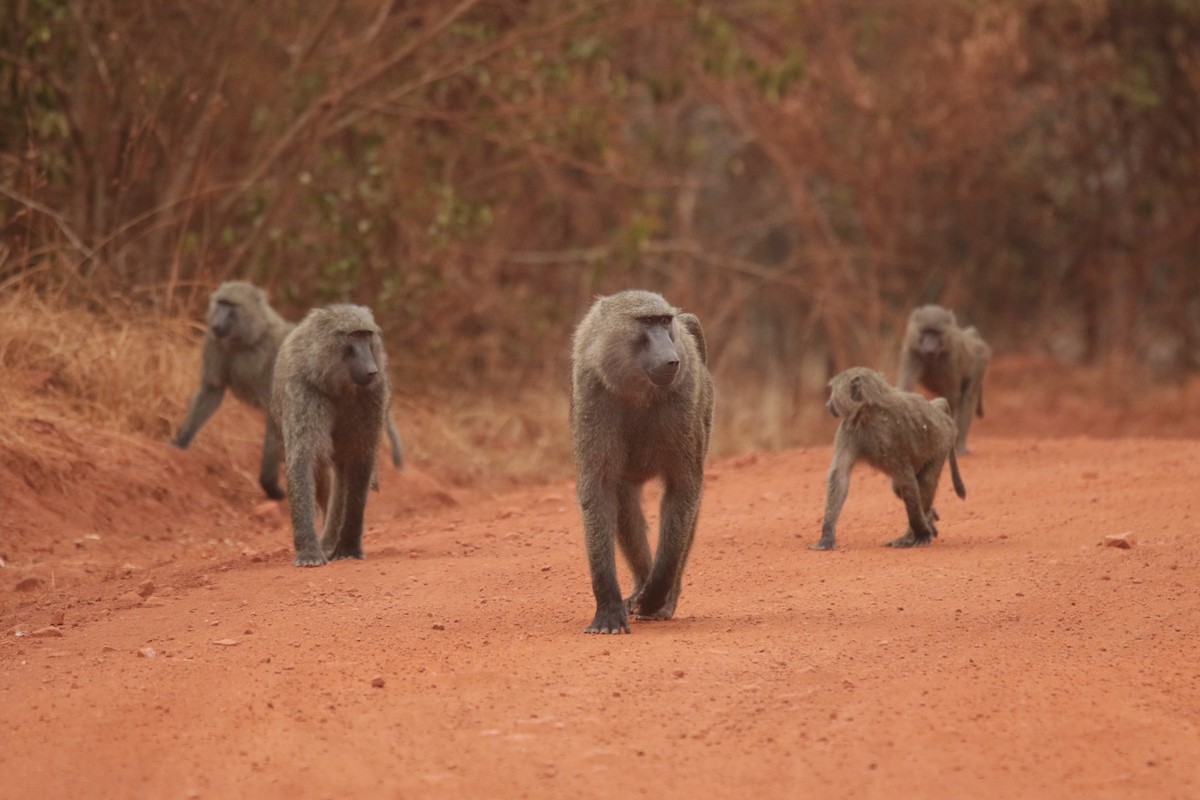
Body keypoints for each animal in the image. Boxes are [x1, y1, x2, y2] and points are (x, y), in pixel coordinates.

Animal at [172, 282, 405, 500]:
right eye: (220, 303)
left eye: (231, 306)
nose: (216, 323)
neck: (248, 340)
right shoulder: (216, 344)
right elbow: (212, 391)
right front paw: (179, 443)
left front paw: (270, 486)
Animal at [270, 304, 390, 567]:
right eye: (353, 336)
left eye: (367, 335)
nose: (371, 370)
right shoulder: (302, 389)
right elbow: (304, 459)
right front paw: (309, 552)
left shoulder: (373, 393)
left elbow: (361, 459)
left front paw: (349, 547)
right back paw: (325, 544)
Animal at [569, 290, 714, 634]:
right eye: (647, 322)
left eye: (664, 321)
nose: (672, 359)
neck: (637, 390)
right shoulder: (592, 390)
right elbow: (599, 490)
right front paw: (608, 609)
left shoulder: (684, 399)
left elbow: (682, 489)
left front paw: (656, 596)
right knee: (624, 499)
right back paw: (638, 587)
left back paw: (661, 598)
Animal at [812, 367, 966, 551]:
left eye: (832, 391)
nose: (828, 404)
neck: (867, 412)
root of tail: (941, 416)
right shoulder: (848, 429)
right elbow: (840, 475)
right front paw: (827, 535)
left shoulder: (890, 435)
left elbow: (906, 480)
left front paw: (921, 532)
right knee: (899, 487)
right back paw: (928, 516)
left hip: (943, 442)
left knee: (923, 482)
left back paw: (912, 534)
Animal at [896, 304, 991, 455]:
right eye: (925, 332)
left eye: (936, 333)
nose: (930, 347)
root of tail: (973, 336)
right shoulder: (912, 351)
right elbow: (906, 388)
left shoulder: (950, 358)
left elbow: (952, 398)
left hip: (980, 362)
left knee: (967, 399)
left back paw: (960, 447)